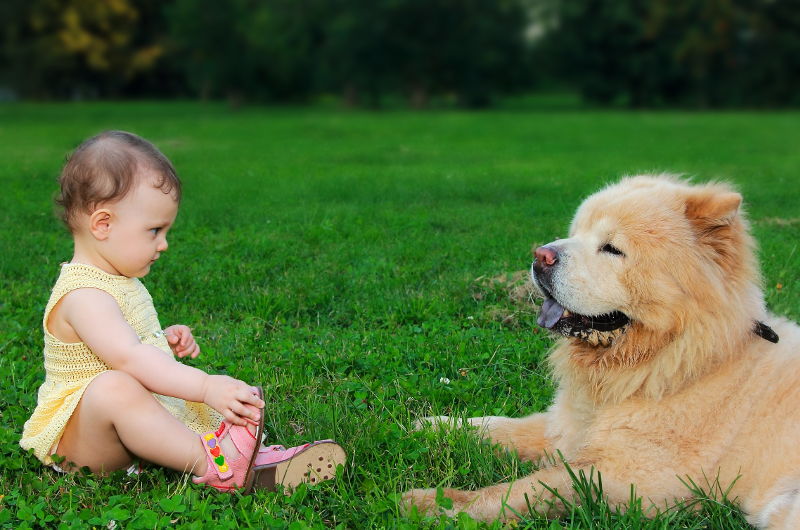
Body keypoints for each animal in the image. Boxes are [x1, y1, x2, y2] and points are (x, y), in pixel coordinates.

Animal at [406, 174, 800, 528]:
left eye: (612, 248)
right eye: (577, 232)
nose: (540, 255)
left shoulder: (630, 477)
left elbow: (531, 487)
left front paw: (433, 505)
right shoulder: (567, 427)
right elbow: (501, 426)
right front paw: (434, 426)